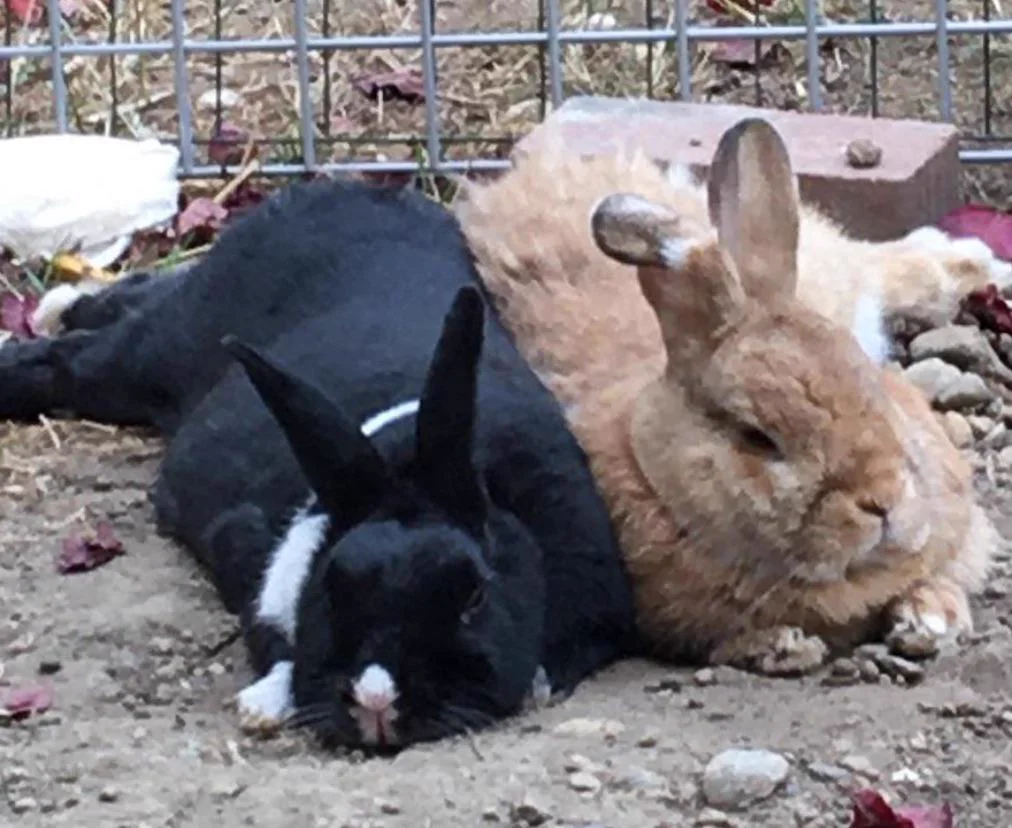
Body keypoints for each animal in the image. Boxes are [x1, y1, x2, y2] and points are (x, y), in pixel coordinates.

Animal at [0, 177, 637, 747]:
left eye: (474, 597)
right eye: (331, 587)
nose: (378, 701)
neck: (402, 464)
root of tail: (333, 186)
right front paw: (265, 702)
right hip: (150, 355)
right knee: (75, 358)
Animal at [455, 116, 1003, 675]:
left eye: (871, 385)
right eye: (757, 438)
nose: (884, 500)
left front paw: (932, 617)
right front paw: (781, 645)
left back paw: (974, 262)